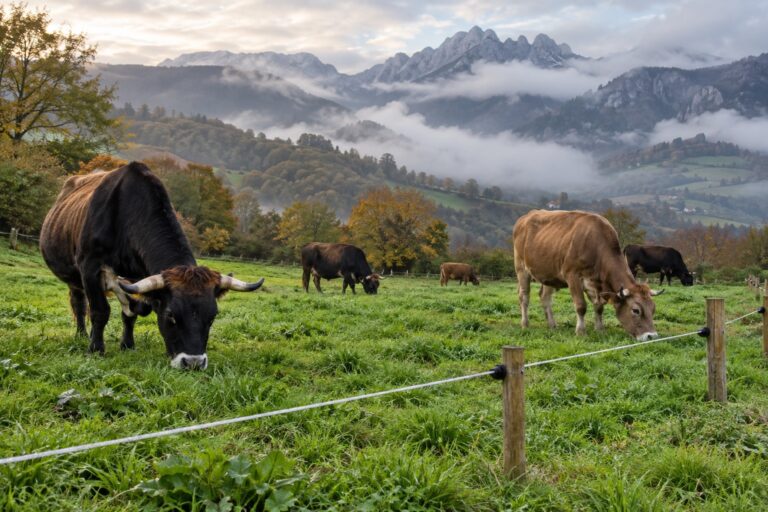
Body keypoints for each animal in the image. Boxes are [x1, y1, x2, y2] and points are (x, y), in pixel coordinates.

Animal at [39, 162, 264, 370]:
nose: (193, 362)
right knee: (79, 304)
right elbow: (99, 311)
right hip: (74, 277)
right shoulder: (90, 268)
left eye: (213, 316)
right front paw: (96, 349)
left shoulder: (138, 278)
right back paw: (82, 335)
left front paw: (127, 345)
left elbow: (131, 314)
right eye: (171, 315)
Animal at [513, 210, 661, 341]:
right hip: (521, 268)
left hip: (549, 274)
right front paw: (581, 331)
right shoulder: (573, 276)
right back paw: (525, 324)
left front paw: (600, 329)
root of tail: (526, 217)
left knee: (545, 297)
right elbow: (581, 306)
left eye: (653, 308)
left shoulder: (595, 284)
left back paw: (552, 325)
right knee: (524, 296)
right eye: (636, 310)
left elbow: (599, 307)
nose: (651, 336)